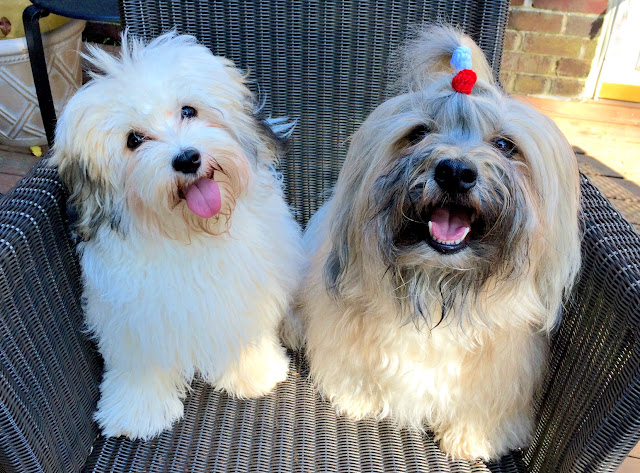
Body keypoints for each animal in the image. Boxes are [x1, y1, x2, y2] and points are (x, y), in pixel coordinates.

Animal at [50, 33, 302, 438]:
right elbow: (140, 360)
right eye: (134, 139)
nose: (186, 158)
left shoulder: (244, 293)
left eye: (188, 111)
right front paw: (137, 409)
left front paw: (254, 371)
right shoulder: (134, 313)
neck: (190, 233)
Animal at [288, 24, 584, 458]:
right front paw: (357, 398)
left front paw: (474, 437)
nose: (455, 171)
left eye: (504, 145)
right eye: (418, 133)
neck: (437, 284)